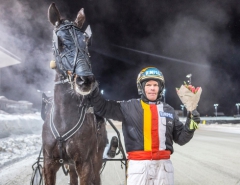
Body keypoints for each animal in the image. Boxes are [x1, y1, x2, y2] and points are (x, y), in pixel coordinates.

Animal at [41, 3, 107, 185]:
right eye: (60, 42)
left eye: (86, 42)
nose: (86, 80)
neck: (64, 120)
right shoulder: (49, 163)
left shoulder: (84, 163)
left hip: (97, 157)